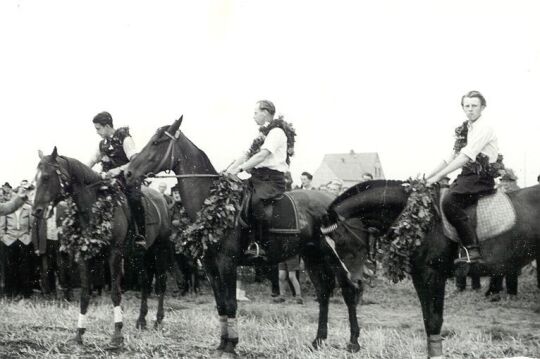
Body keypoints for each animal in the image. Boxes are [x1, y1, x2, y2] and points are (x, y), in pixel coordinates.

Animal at [32, 148, 171, 348]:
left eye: (46, 177)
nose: (36, 211)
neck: (94, 205)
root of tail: (162, 199)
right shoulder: (84, 256)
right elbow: (84, 294)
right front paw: (79, 333)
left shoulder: (114, 255)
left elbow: (115, 293)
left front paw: (117, 334)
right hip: (140, 254)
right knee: (145, 282)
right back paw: (141, 320)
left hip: (161, 249)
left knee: (161, 282)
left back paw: (158, 320)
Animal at [125, 117, 372, 358]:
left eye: (156, 142)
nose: (127, 172)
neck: (213, 203)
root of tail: (337, 202)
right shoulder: (210, 265)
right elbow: (221, 304)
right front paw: (222, 343)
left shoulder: (227, 263)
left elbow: (231, 303)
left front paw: (231, 345)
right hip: (313, 256)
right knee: (323, 293)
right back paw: (318, 340)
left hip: (335, 258)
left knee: (349, 291)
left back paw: (353, 342)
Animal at [324, 180, 540, 359]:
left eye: (340, 240)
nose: (353, 280)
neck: (416, 217)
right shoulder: (420, 277)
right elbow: (428, 320)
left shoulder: (433, 276)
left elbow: (435, 320)